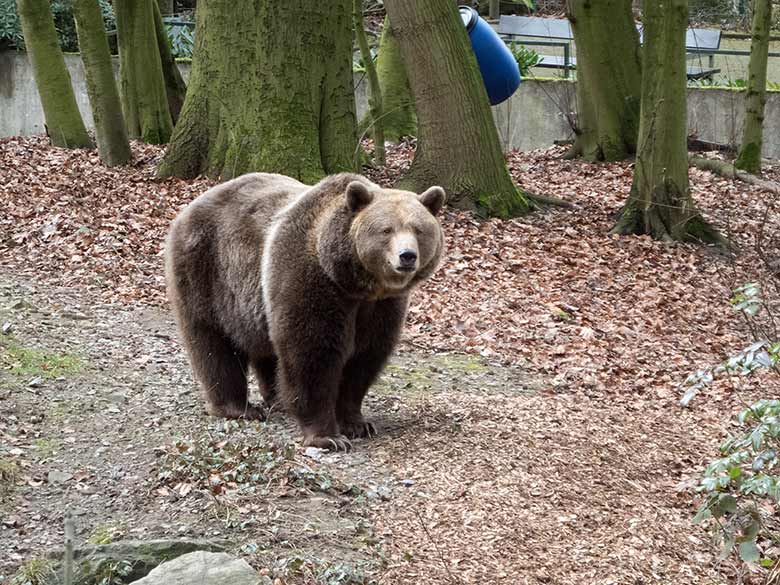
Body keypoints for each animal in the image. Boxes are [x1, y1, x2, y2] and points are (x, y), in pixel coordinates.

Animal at [165, 171, 444, 450]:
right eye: (386, 230)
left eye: (418, 229)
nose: (407, 256)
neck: (354, 283)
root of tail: (190, 207)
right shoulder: (310, 278)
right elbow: (312, 353)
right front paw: (328, 436)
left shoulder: (381, 306)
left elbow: (364, 357)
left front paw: (357, 424)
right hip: (206, 272)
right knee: (213, 343)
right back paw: (238, 408)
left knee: (265, 348)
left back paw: (276, 399)